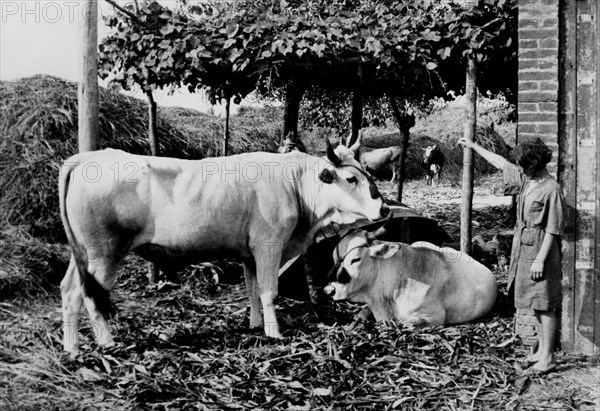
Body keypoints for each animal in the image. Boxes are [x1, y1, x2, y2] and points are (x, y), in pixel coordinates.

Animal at [58, 142, 386, 354]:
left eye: (367, 173)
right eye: (351, 178)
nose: (383, 208)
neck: (293, 183)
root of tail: (85, 158)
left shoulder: (249, 253)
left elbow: (253, 290)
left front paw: (255, 326)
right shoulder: (268, 244)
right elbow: (269, 291)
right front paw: (274, 333)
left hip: (83, 254)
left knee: (69, 290)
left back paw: (71, 348)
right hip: (104, 252)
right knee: (90, 295)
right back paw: (107, 342)